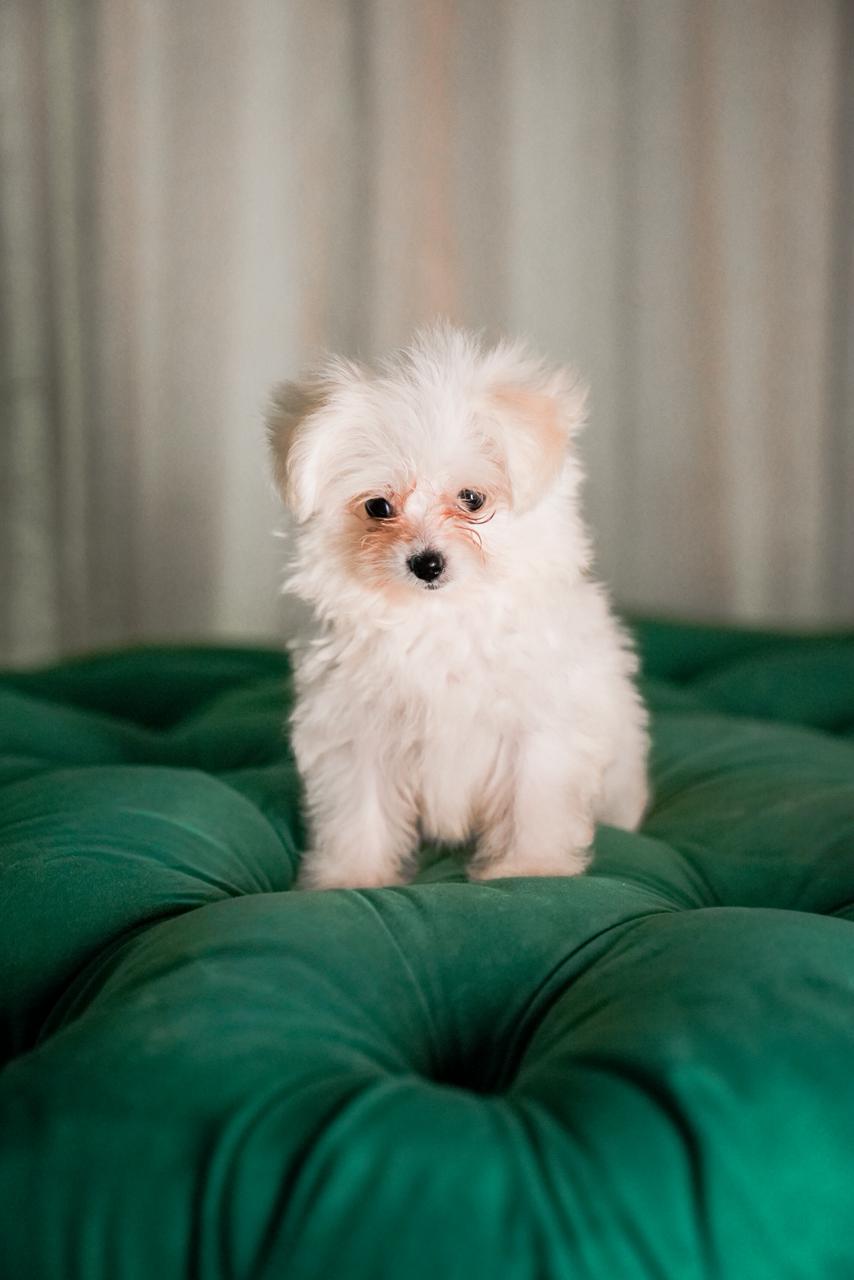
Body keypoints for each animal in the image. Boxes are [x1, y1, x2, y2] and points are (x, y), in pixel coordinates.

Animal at [267, 325, 648, 889]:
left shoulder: (539, 728)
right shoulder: (354, 729)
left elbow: (533, 800)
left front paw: (530, 868)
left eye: (472, 499)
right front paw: (353, 877)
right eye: (378, 507)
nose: (426, 564)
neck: (441, 620)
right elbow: (359, 809)